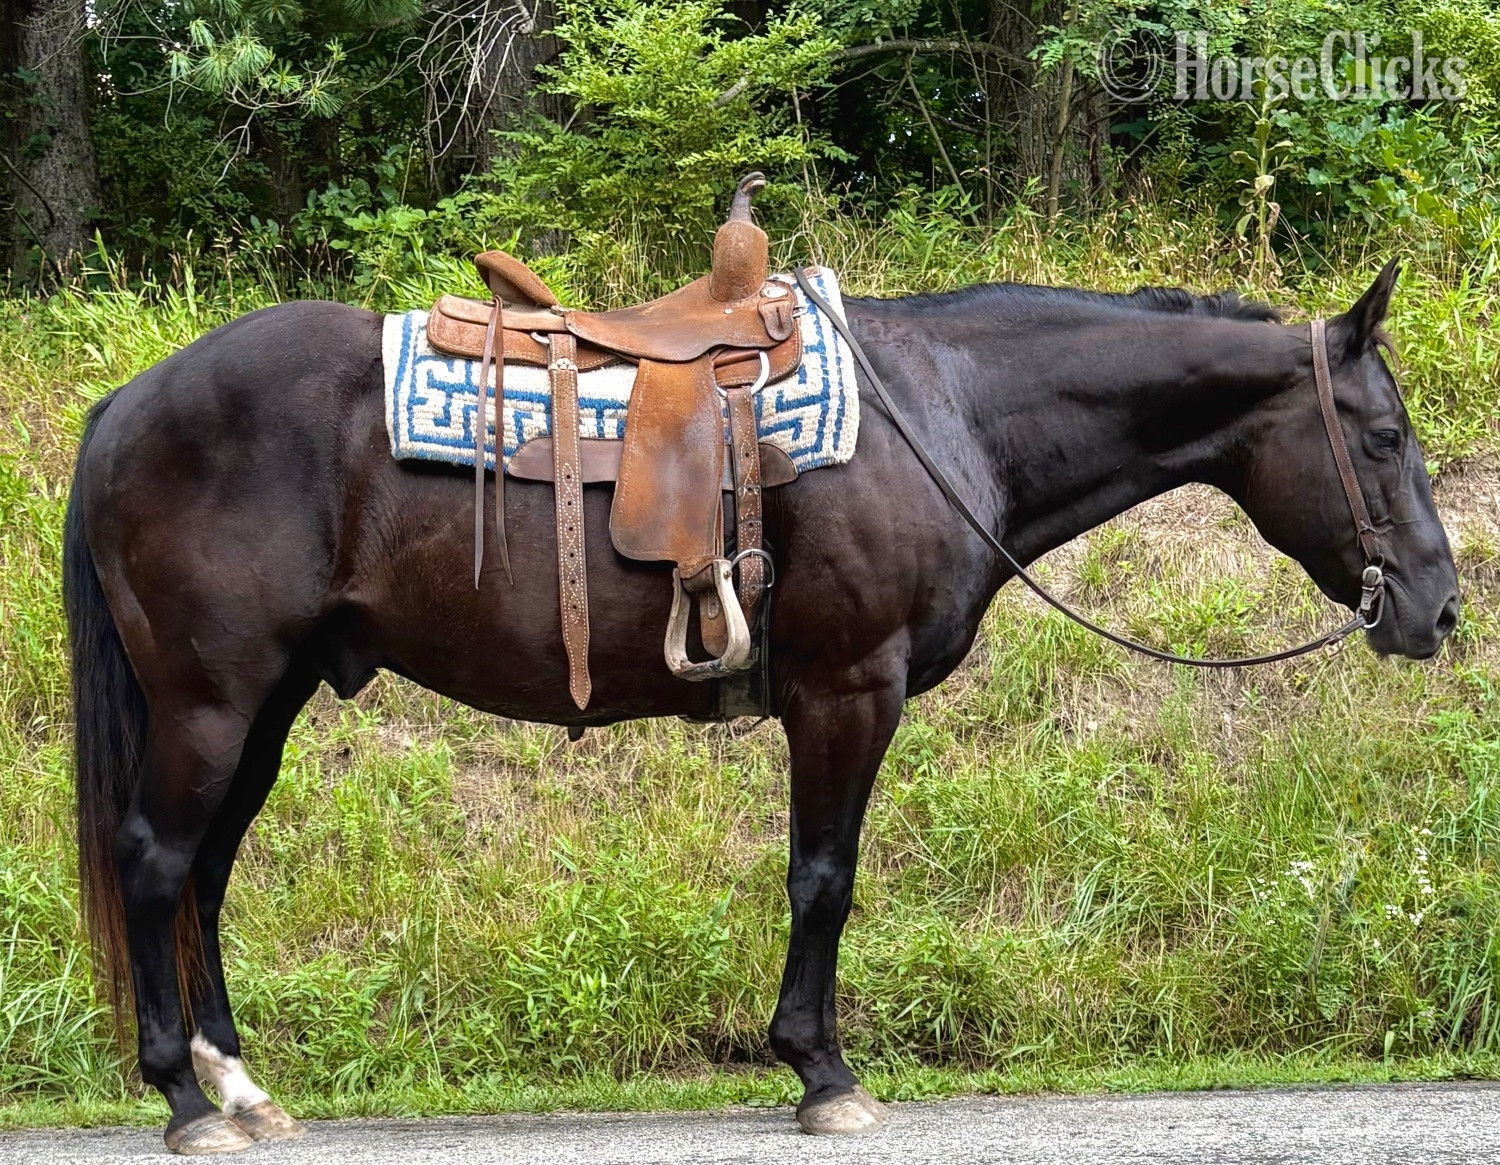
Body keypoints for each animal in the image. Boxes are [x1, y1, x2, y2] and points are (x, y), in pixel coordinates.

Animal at [63, 257, 1459, 1153]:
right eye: (1384, 437)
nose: (1439, 609)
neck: (945, 413)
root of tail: (129, 400)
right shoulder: (848, 689)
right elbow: (824, 876)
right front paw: (821, 1071)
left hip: (267, 701)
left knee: (206, 875)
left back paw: (241, 1089)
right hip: (213, 699)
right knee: (158, 863)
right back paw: (183, 1103)